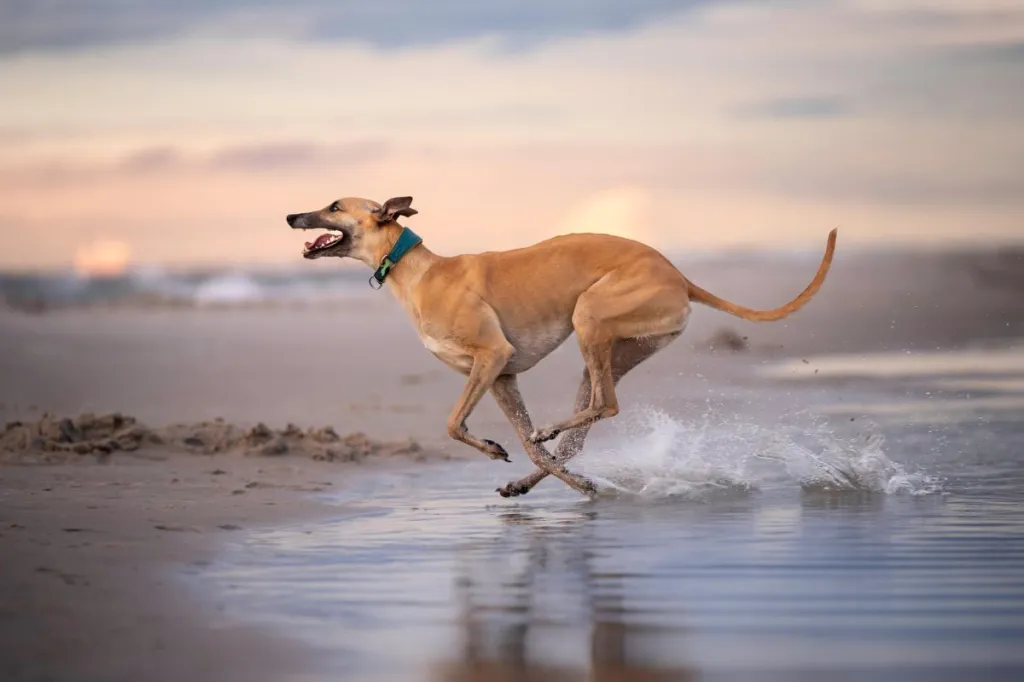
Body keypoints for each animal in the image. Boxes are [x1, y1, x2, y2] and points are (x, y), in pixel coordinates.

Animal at [284, 193, 835, 497]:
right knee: (578, 434)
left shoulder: (492, 357)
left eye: (334, 206)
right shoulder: (501, 375)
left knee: (606, 407)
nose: (291, 216)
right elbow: (528, 446)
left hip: (590, 318)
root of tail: (678, 275)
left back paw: (555, 437)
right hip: (614, 349)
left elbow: (454, 424)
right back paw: (541, 469)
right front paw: (533, 467)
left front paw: (526, 461)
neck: (418, 271)